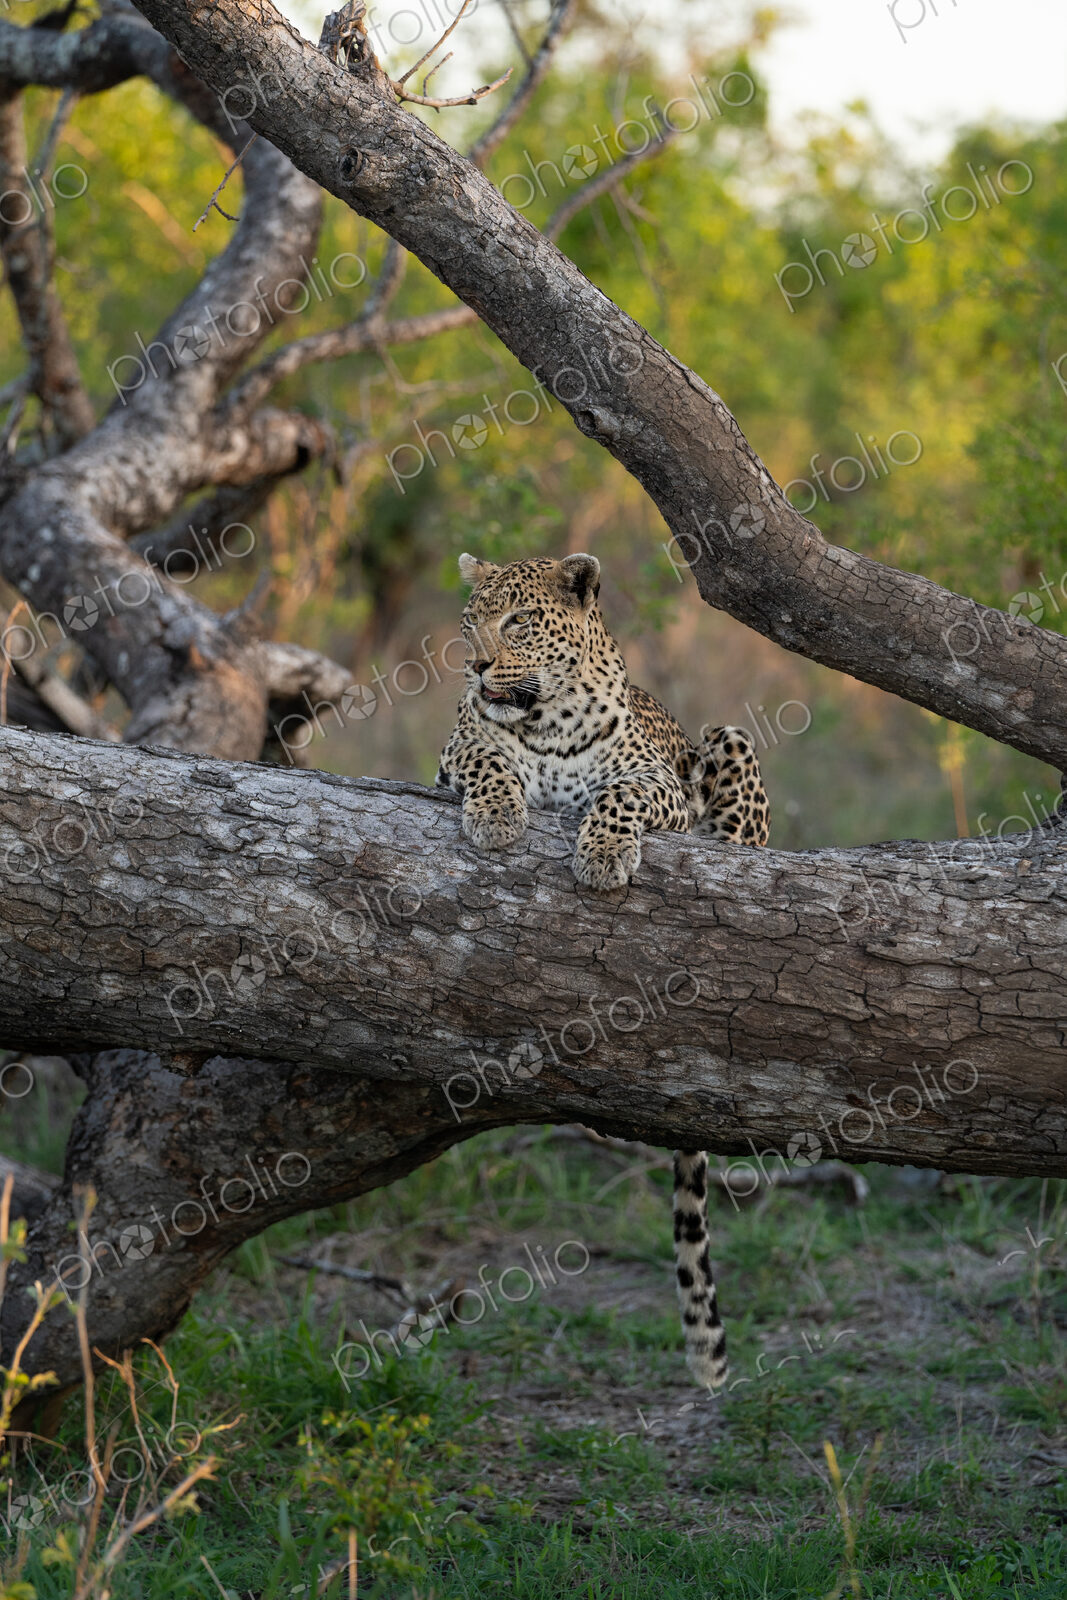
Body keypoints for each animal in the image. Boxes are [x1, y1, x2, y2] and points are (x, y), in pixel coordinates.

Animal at [435, 552, 771, 1388]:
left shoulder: (660, 786)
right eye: (469, 620)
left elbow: (619, 794)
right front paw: (497, 818)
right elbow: (486, 755)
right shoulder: (455, 754)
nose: (476, 664)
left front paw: (603, 857)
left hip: (728, 740)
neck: (546, 723)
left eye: (517, 621)